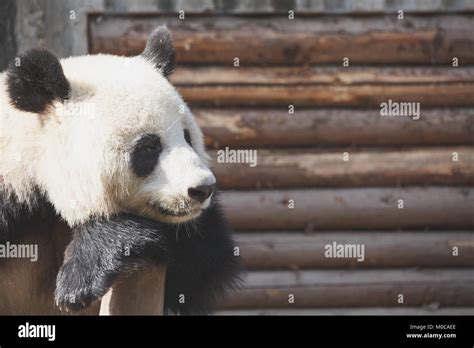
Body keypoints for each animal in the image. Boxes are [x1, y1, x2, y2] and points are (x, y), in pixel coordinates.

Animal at [0, 25, 243, 314]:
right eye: (148, 148)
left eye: (187, 137)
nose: (202, 189)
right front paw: (79, 284)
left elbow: (203, 265)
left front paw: (78, 280)